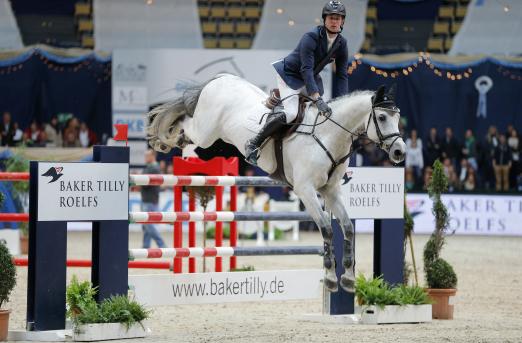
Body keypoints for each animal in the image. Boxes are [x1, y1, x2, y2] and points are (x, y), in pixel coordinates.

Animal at [145, 73, 402, 292]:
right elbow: (327, 230)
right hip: (205, 133)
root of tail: (221, 78)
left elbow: (347, 228)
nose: (399, 152)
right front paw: (330, 279)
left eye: (398, 117)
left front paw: (348, 278)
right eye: (381, 117)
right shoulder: (306, 190)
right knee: (184, 121)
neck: (328, 135)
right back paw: (167, 139)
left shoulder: (330, 191)